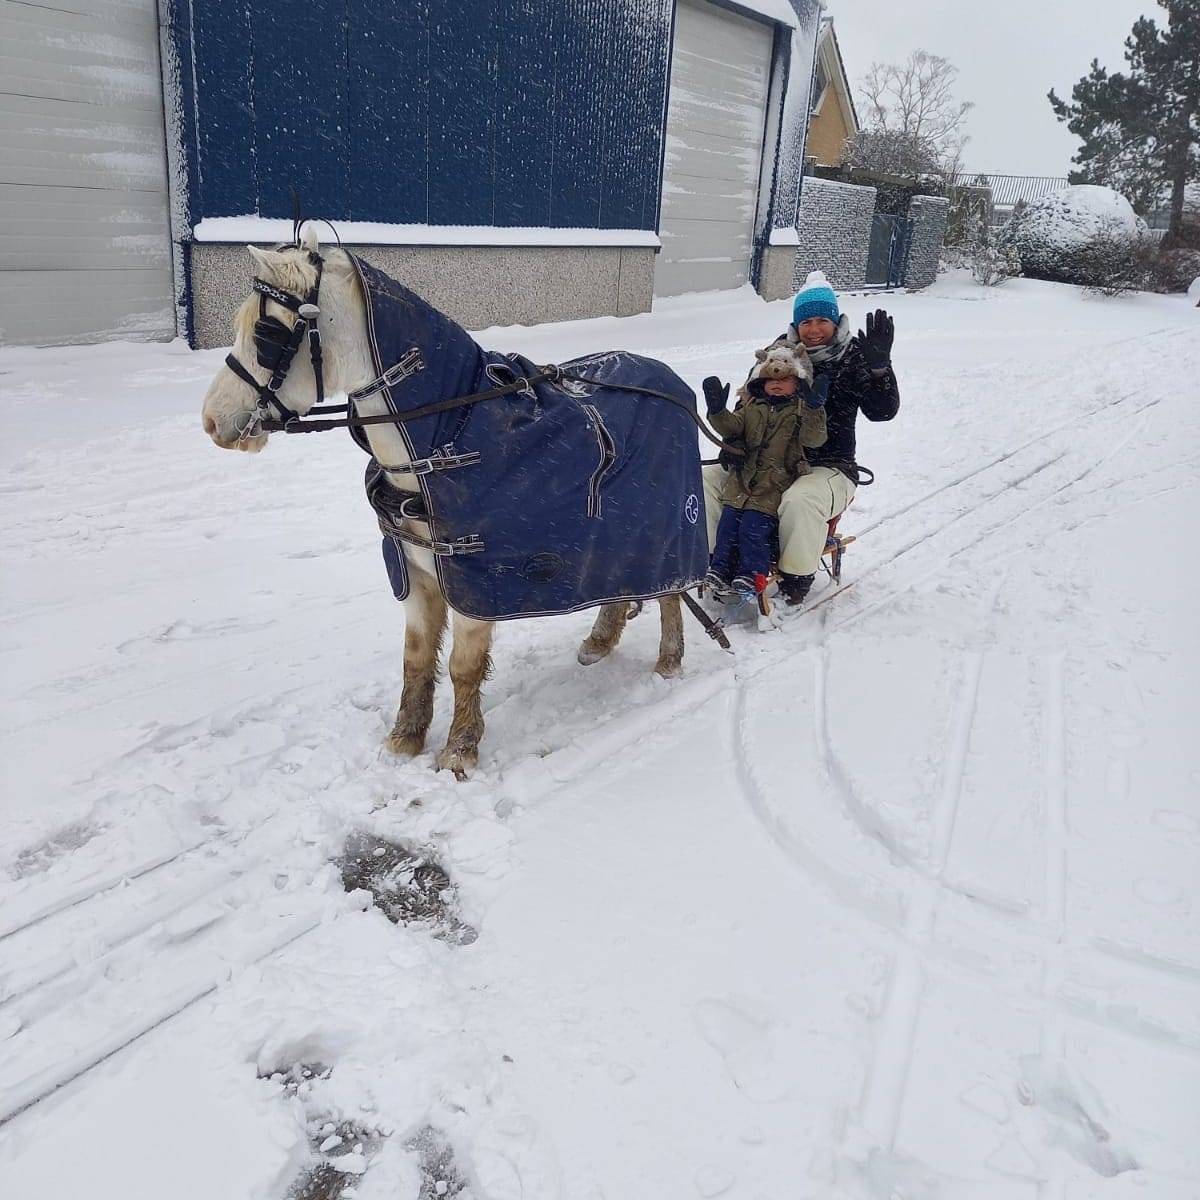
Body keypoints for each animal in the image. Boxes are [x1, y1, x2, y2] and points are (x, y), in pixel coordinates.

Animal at [200, 224, 710, 778]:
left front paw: (459, 749)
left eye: (266, 334)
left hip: (668, 524)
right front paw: (405, 738)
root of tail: (674, 383)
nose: (211, 420)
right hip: (617, 535)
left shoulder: (475, 583)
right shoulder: (417, 574)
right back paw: (600, 640)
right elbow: (417, 657)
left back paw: (669, 660)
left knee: (670, 590)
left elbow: (463, 667)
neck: (446, 433)